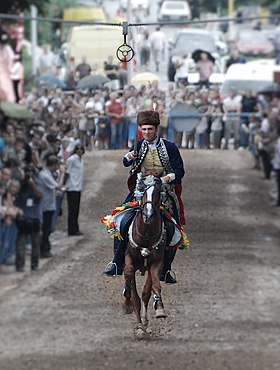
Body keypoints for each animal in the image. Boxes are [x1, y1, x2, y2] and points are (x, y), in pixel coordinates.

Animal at [123, 175, 167, 340]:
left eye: (157, 193)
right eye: (142, 191)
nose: (148, 215)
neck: (146, 234)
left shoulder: (155, 263)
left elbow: (153, 287)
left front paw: (160, 309)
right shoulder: (129, 258)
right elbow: (129, 275)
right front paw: (127, 303)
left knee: (146, 292)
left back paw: (144, 322)